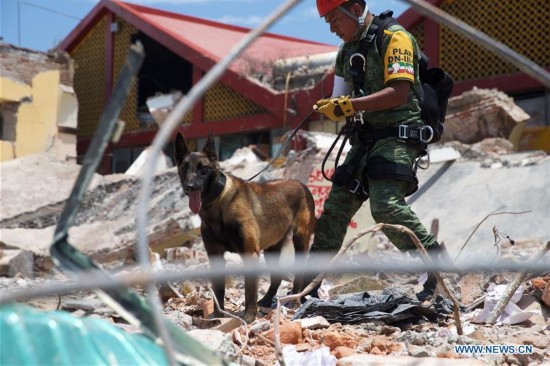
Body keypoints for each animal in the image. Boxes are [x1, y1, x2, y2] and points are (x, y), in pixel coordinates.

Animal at [175, 133, 316, 322]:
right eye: (184, 168)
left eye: (203, 169)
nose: (189, 187)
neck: (218, 204)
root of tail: (302, 184)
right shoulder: (215, 256)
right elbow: (218, 293)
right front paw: (218, 318)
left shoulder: (250, 254)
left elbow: (249, 291)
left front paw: (249, 316)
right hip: (271, 249)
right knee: (276, 277)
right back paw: (266, 300)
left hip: (299, 242)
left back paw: (295, 300)